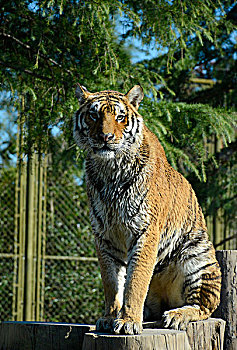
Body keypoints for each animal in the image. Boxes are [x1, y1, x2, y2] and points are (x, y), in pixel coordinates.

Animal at [73, 83, 221, 334]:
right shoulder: (104, 236)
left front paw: (128, 321)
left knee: (203, 307)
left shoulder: (145, 231)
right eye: (93, 115)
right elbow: (112, 283)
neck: (110, 169)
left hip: (198, 257)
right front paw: (109, 318)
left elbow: (136, 281)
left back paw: (175, 316)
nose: (105, 137)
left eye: (120, 117)